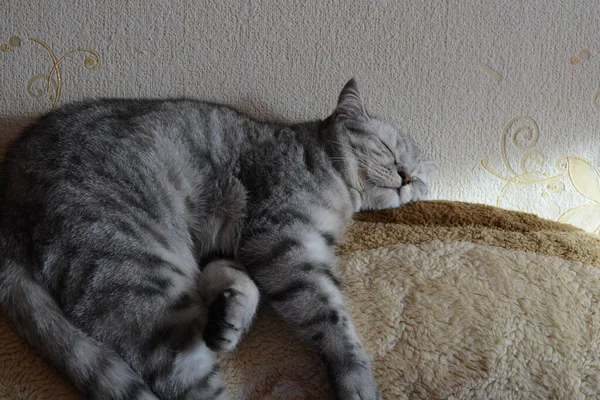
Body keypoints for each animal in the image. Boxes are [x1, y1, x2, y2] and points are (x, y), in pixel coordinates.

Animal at [0, 79, 432, 398]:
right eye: (389, 150)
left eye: (418, 175)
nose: (407, 177)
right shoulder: (283, 242)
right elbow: (332, 319)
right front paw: (357, 378)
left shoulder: (234, 248)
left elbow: (234, 279)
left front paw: (231, 312)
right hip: (137, 271)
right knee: (183, 381)